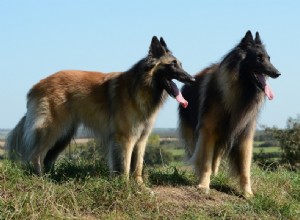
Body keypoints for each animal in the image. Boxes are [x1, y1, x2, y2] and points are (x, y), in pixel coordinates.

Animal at [5, 36, 196, 184]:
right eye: (172, 65)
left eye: (180, 64)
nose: (192, 79)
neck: (141, 86)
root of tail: (36, 86)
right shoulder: (126, 137)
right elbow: (125, 165)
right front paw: (125, 186)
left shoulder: (141, 138)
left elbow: (138, 165)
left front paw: (140, 186)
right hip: (53, 130)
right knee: (36, 155)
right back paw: (42, 180)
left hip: (64, 135)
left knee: (47, 157)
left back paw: (52, 177)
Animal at [179, 30, 280, 196]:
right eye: (259, 58)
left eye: (269, 58)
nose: (277, 73)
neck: (241, 90)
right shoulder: (208, 131)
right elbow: (205, 162)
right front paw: (203, 185)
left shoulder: (244, 135)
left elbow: (245, 169)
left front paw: (248, 193)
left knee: (217, 157)